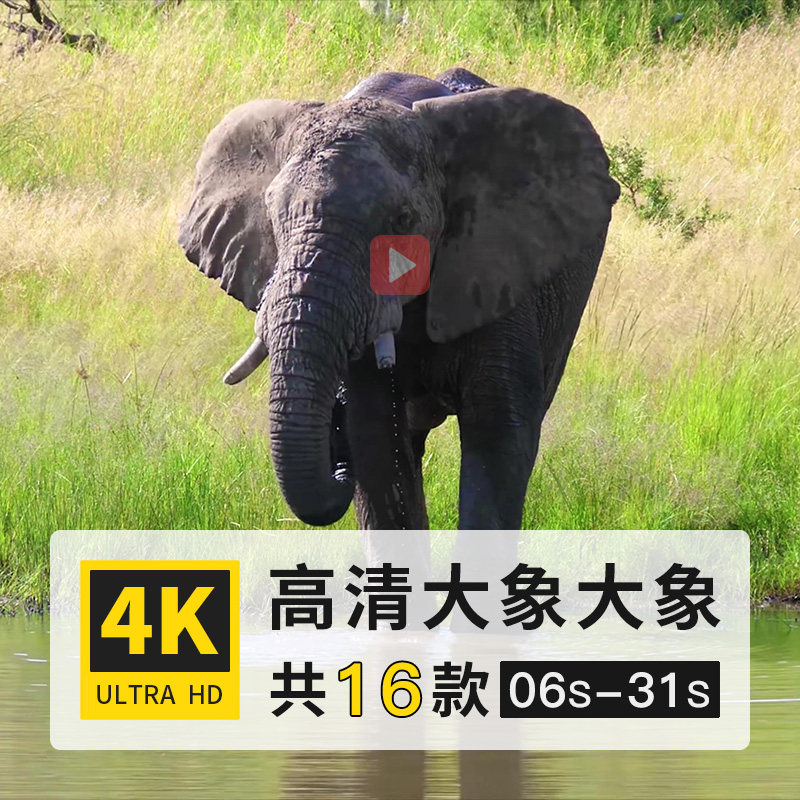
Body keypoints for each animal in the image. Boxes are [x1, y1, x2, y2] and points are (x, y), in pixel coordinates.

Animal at [178, 68, 619, 531]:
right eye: (273, 216)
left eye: (402, 220)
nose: (335, 451)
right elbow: (377, 443)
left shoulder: (497, 269)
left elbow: (499, 441)